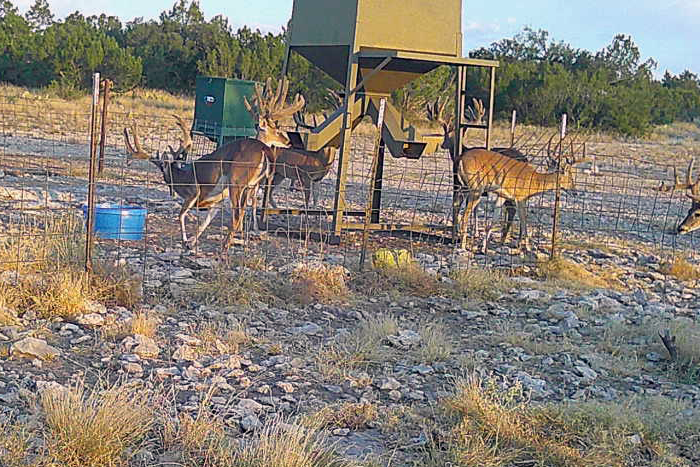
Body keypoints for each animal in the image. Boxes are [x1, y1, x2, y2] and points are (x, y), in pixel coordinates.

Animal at [123, 77, 305, 250]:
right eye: (276, 129)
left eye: (162, 170)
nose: (288, 141)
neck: (182, 177)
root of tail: (264, 149)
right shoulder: (217, 201)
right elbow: (205, 222)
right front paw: (191, 242)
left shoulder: (193, 192)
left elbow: (181, 215)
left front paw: (185, 241)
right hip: (251, 184)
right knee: (244, 210)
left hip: (237, 181)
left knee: (238, 214)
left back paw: (225, 247)